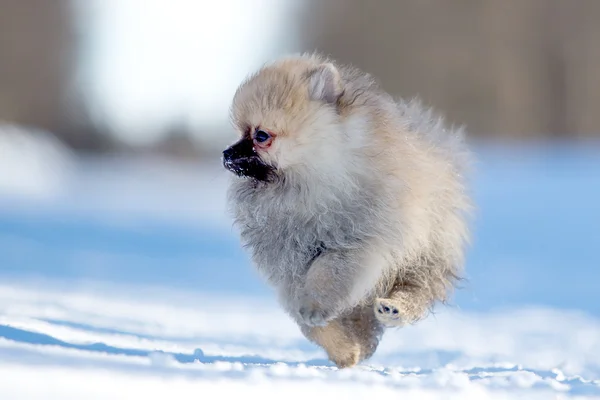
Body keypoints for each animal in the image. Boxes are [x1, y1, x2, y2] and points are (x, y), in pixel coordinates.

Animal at [223, 53, 472, 368]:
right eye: (239, 133)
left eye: (261, 135)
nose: (226, 154)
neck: (307, 185)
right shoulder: (290, 266)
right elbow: (311, 321)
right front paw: (344, 348)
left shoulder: (354, 245)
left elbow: (327, 276)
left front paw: (316, 308)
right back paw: (361, 344)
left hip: (424, 253)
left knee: (417, 289)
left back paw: (394, 308)